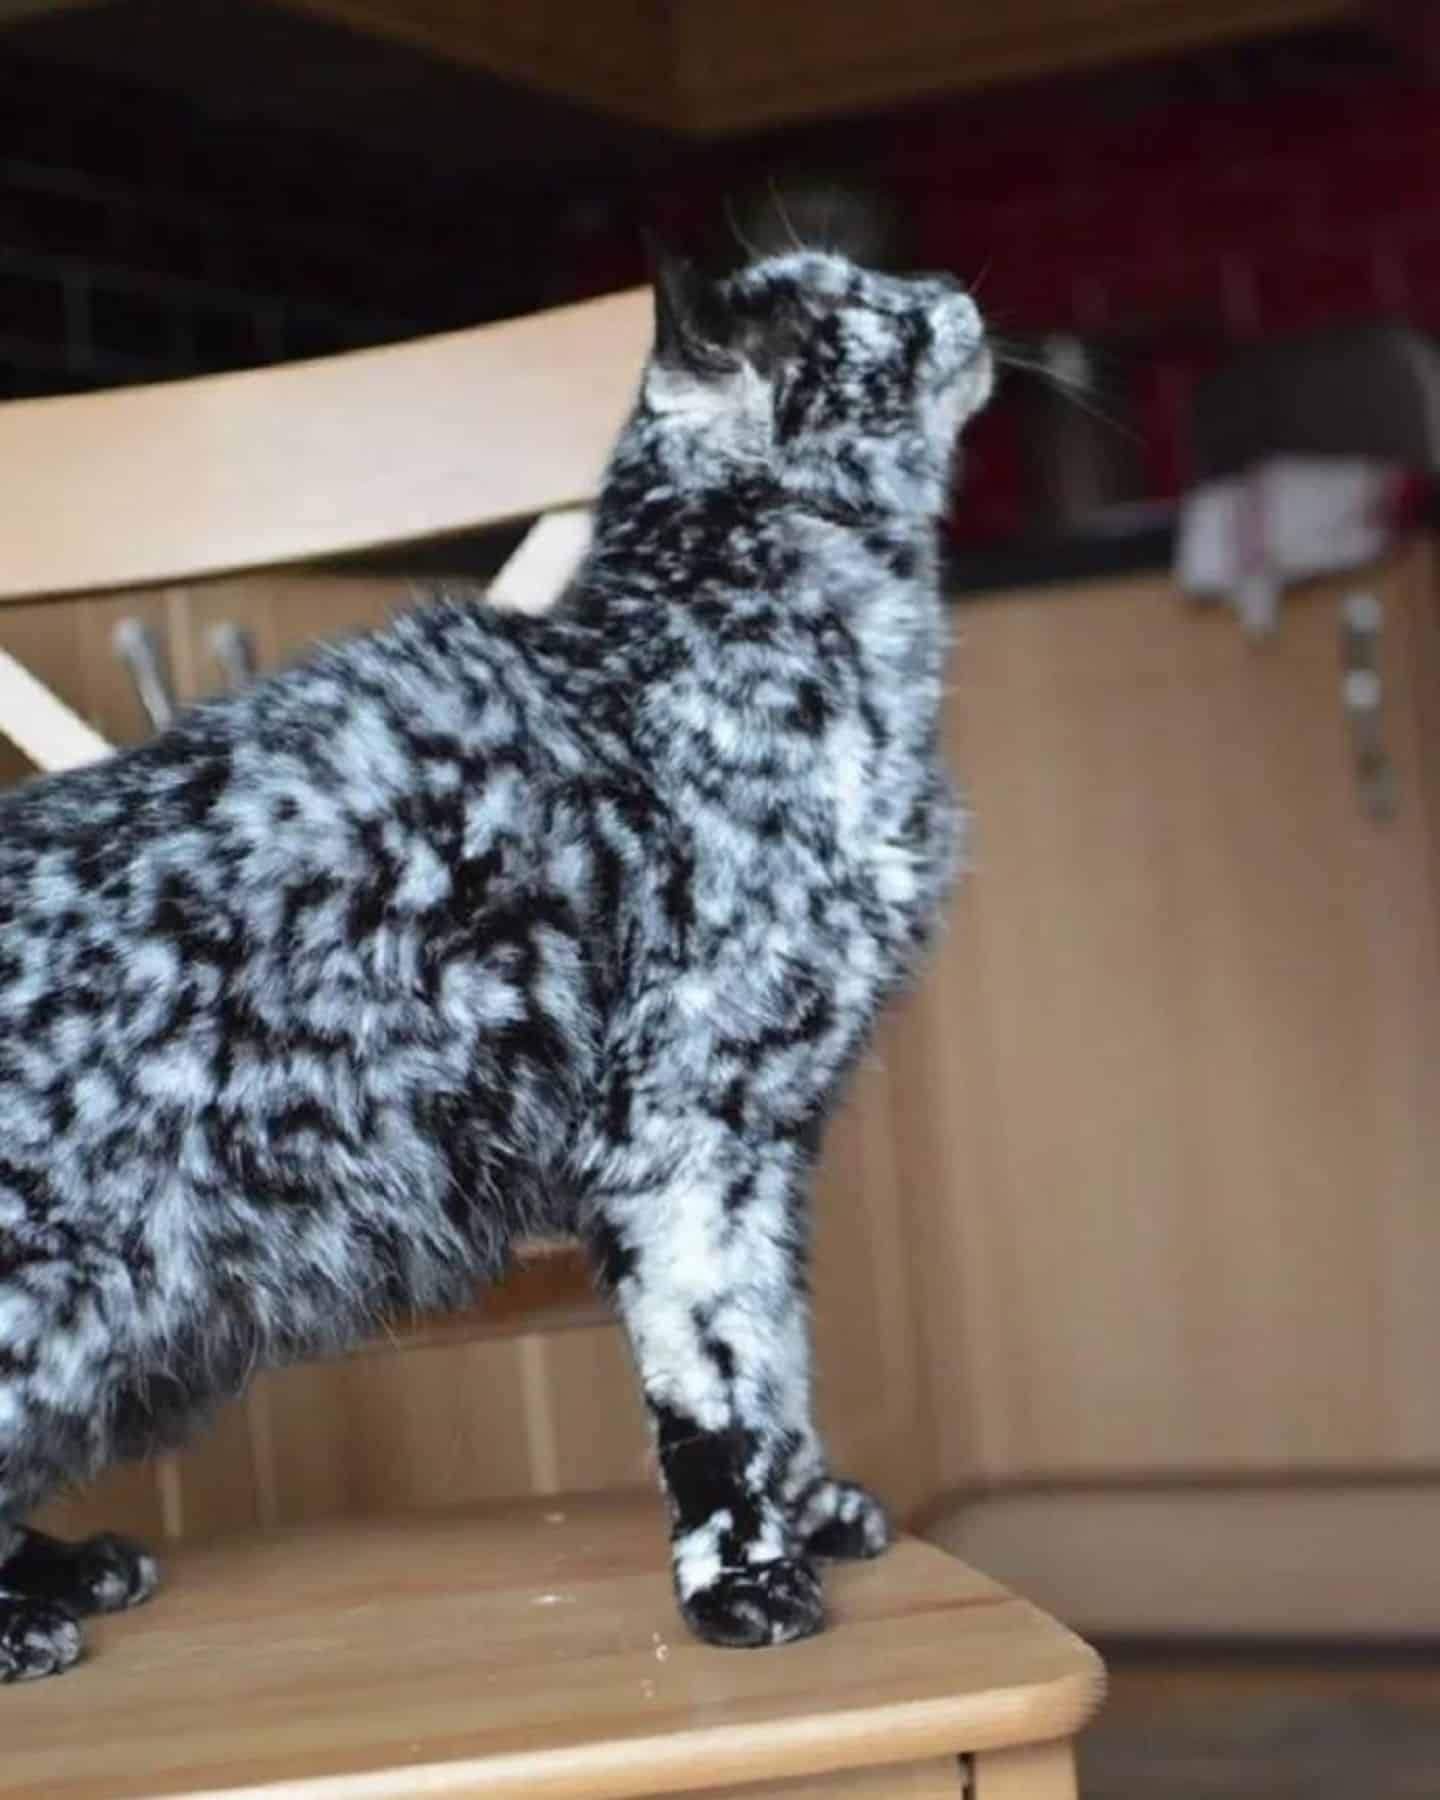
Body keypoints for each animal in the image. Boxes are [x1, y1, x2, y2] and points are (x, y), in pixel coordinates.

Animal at [0, 246, 993, 1677]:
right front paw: (743, 1575)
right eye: (863, 306)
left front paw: (808, 1507)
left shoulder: (769, 1146)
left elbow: (778, 1356)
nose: (951, 290)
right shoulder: (680, 1137)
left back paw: (71, 1572)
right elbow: (712, 1383)